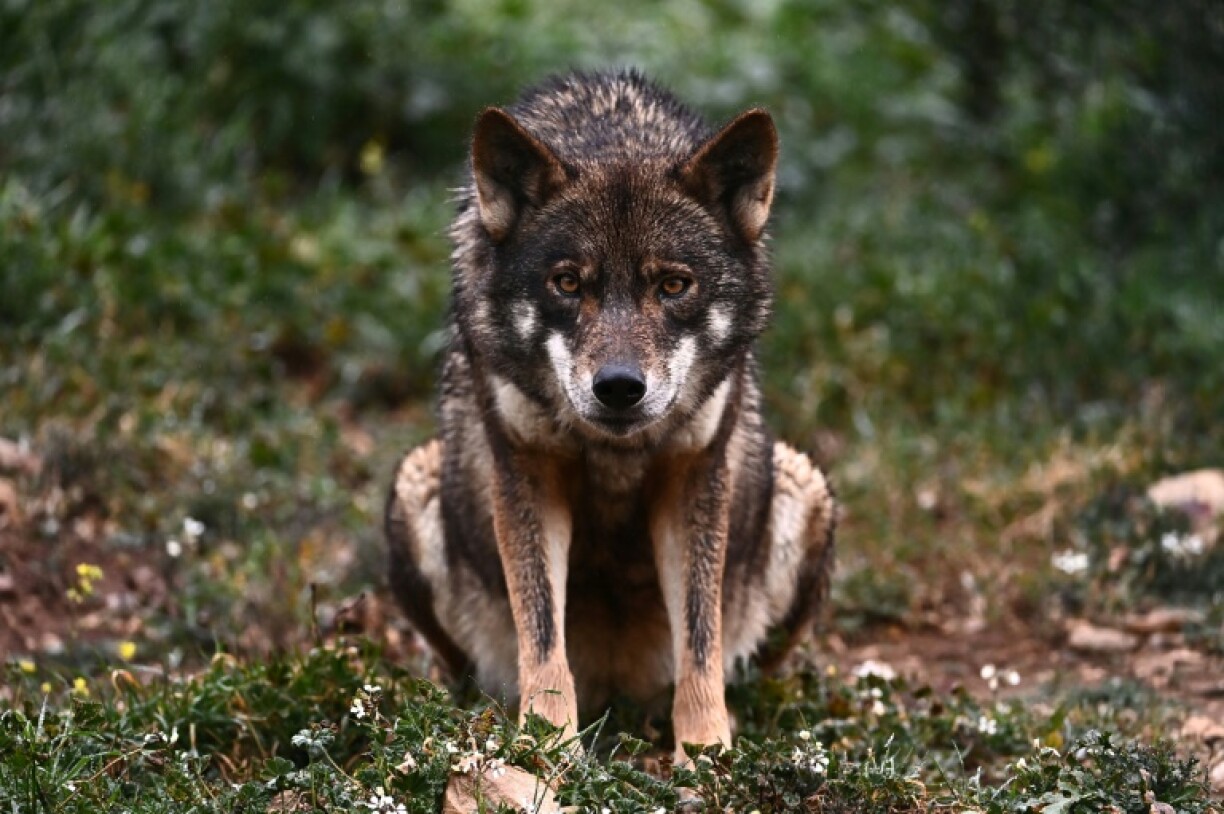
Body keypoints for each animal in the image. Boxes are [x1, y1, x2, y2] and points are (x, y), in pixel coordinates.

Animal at [385, 70, 836, 762]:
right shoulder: (526, 471)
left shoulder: (694, 472)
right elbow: (542, 631)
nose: (620, 388)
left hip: (806, 489)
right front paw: (548, 750)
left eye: (673, 286)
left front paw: (705, 755)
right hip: (411, 490)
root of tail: (617, 691)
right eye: (568, 283)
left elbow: (700, 636)